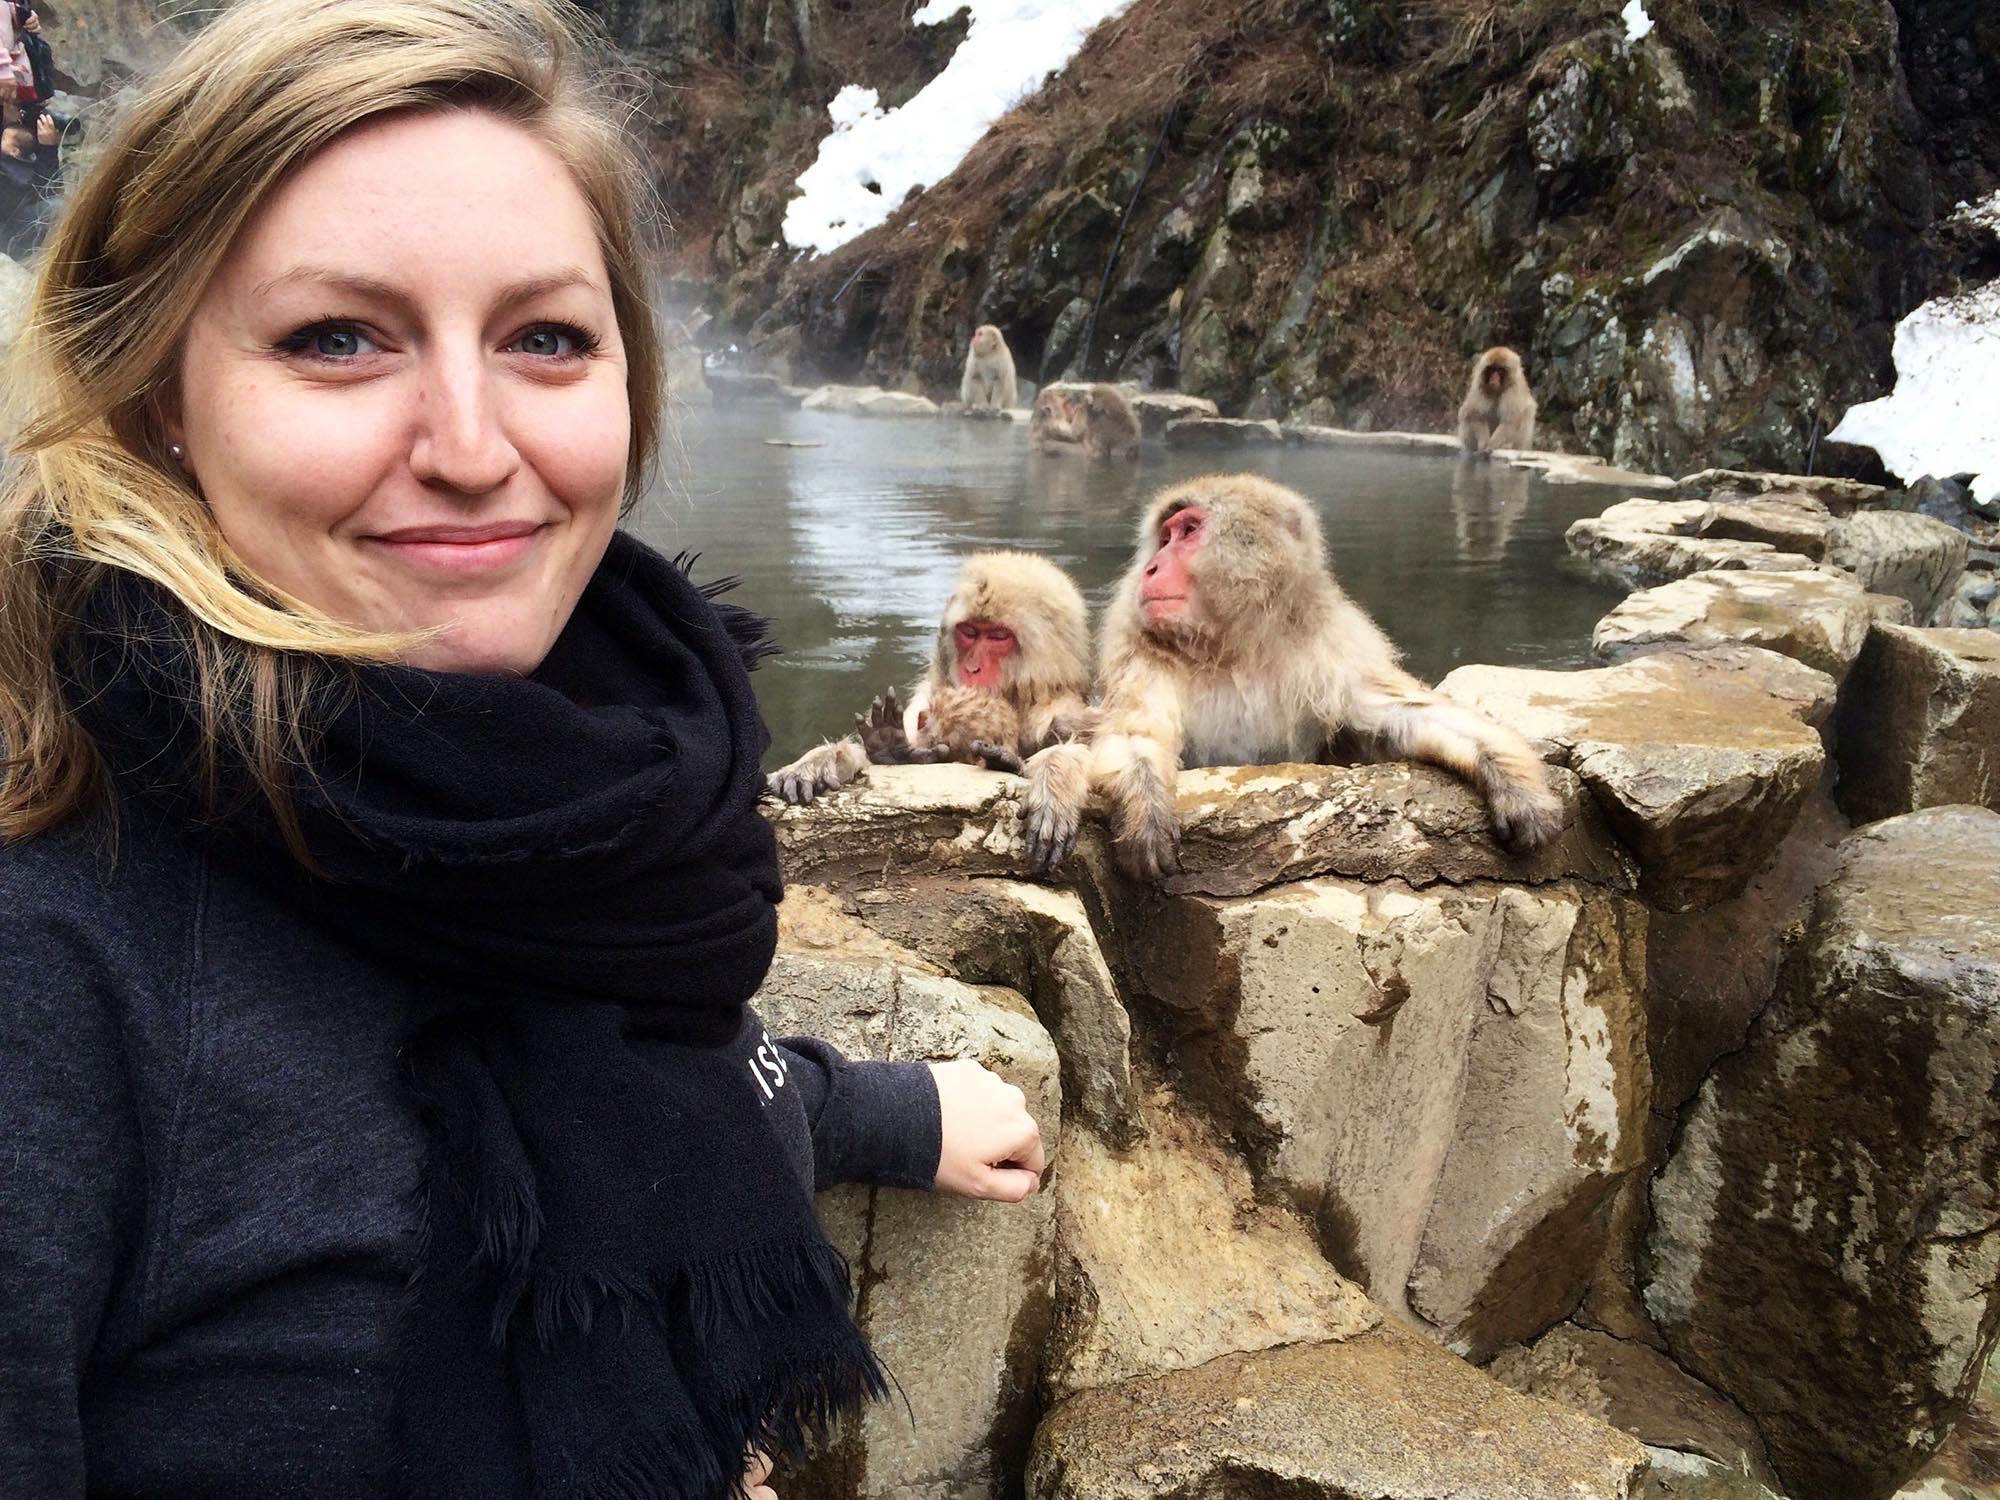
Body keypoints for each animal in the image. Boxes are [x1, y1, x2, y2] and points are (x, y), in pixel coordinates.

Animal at [768, 551, 1094, 804]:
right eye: (970, 632)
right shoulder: (926, 699)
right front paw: (822, 762)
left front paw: (1051, 776)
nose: (971, 668)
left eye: (998, 636)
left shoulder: (1060, 713)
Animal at [1020, 475, 1566, 878]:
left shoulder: (1333, 653)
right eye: (1165, 536)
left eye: (1188, 531)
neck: (1233, 647)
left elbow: (1407, 716)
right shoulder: (1142, 652)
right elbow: (1135, 732)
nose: (1152, 567)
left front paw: (1514, 782)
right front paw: (1146, 805)